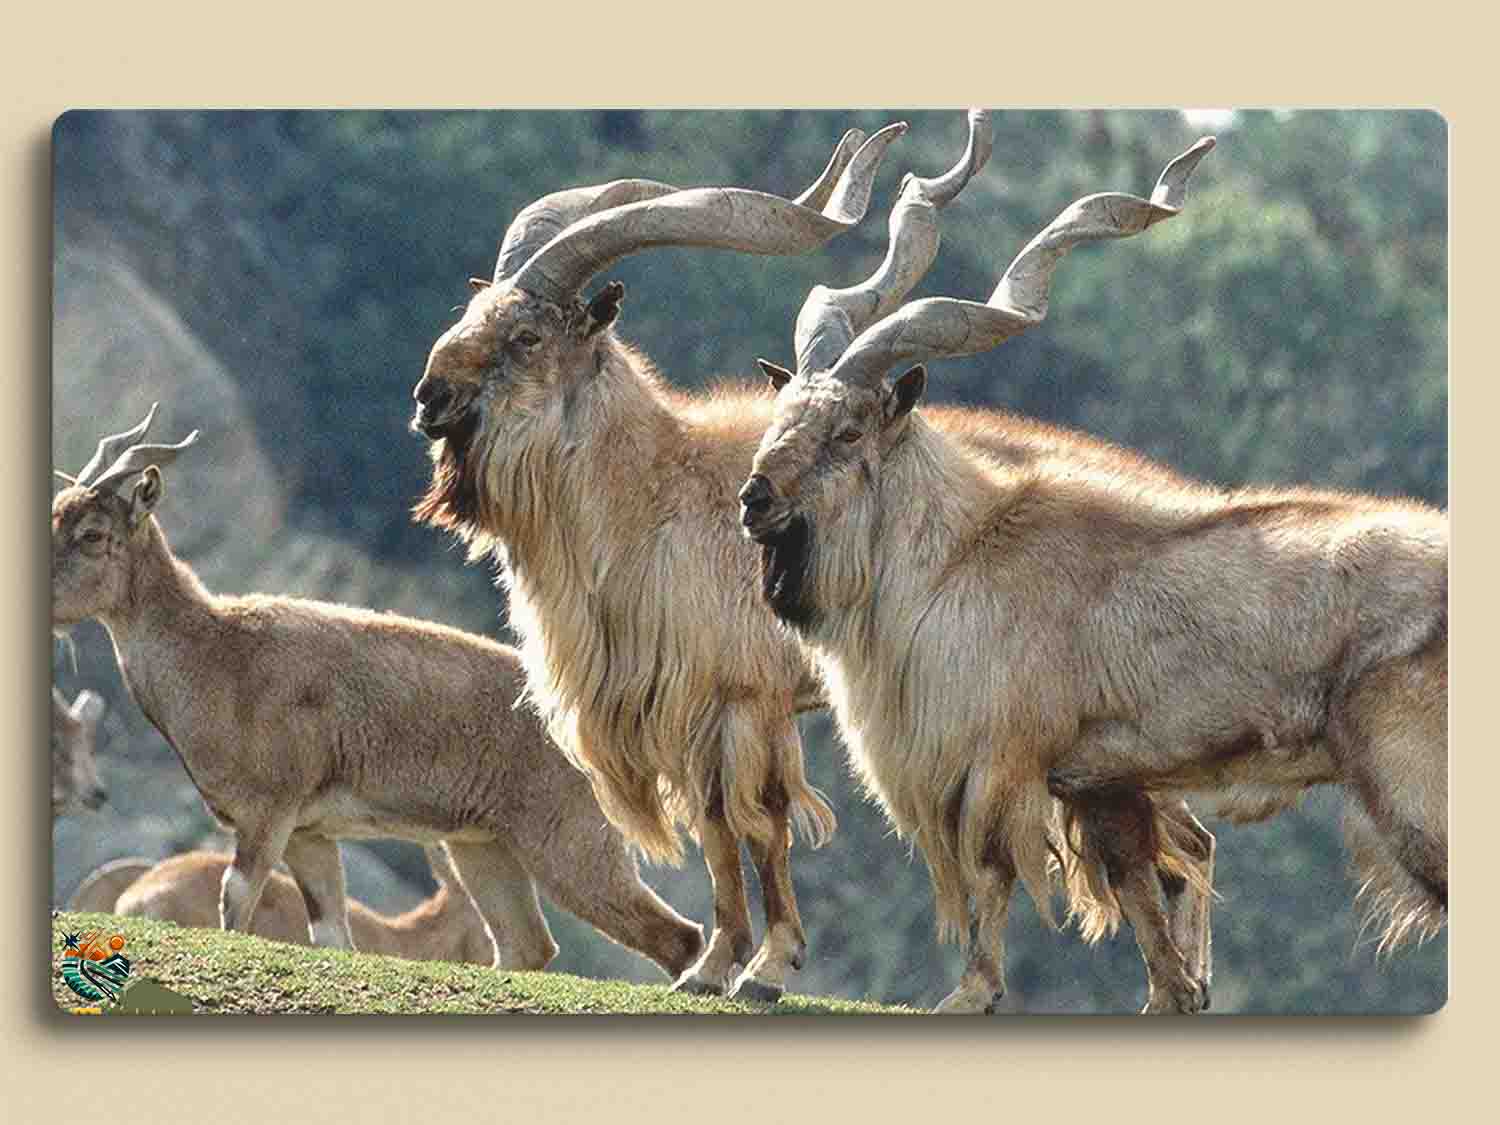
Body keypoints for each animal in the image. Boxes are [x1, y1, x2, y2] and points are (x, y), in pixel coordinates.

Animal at [744, 134, 1446, 1014]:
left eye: (846, 431)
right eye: (782, 415)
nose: (755, 497)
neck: (957, 554)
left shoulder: (998, 765)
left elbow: (994, 877)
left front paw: (971, 993)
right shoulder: (1100, 782)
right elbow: (1144, 903)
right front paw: (1173, 995)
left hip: (1414, 784)